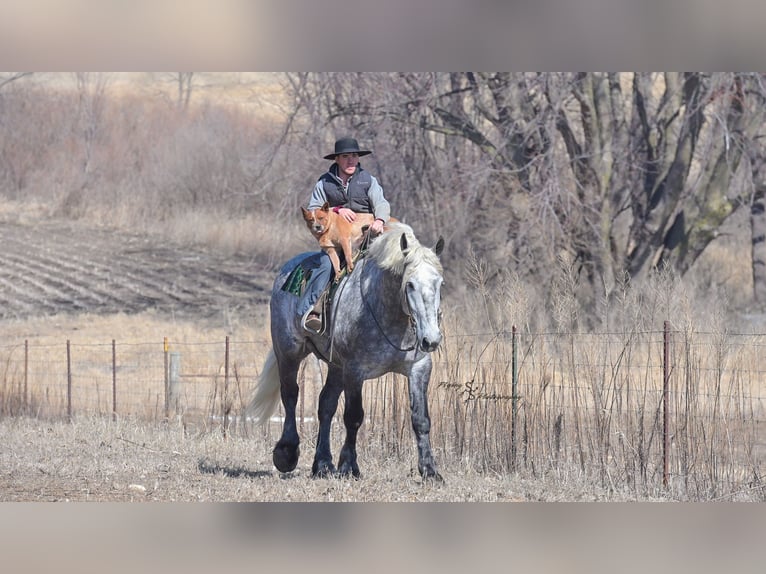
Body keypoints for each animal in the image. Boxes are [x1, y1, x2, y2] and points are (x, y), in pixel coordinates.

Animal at [247, 222, 445, 480]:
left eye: (439, 283)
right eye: (409, 284)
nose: (431, 339)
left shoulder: (419, 368)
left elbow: (421, 419)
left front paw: (430, 470)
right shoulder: (354, 371)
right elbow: (353, 417)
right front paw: (349, 466)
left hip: (335, 367)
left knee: (325, 405)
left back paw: (322, 464)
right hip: (289, 352)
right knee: (290, 395)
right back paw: (287, 453)